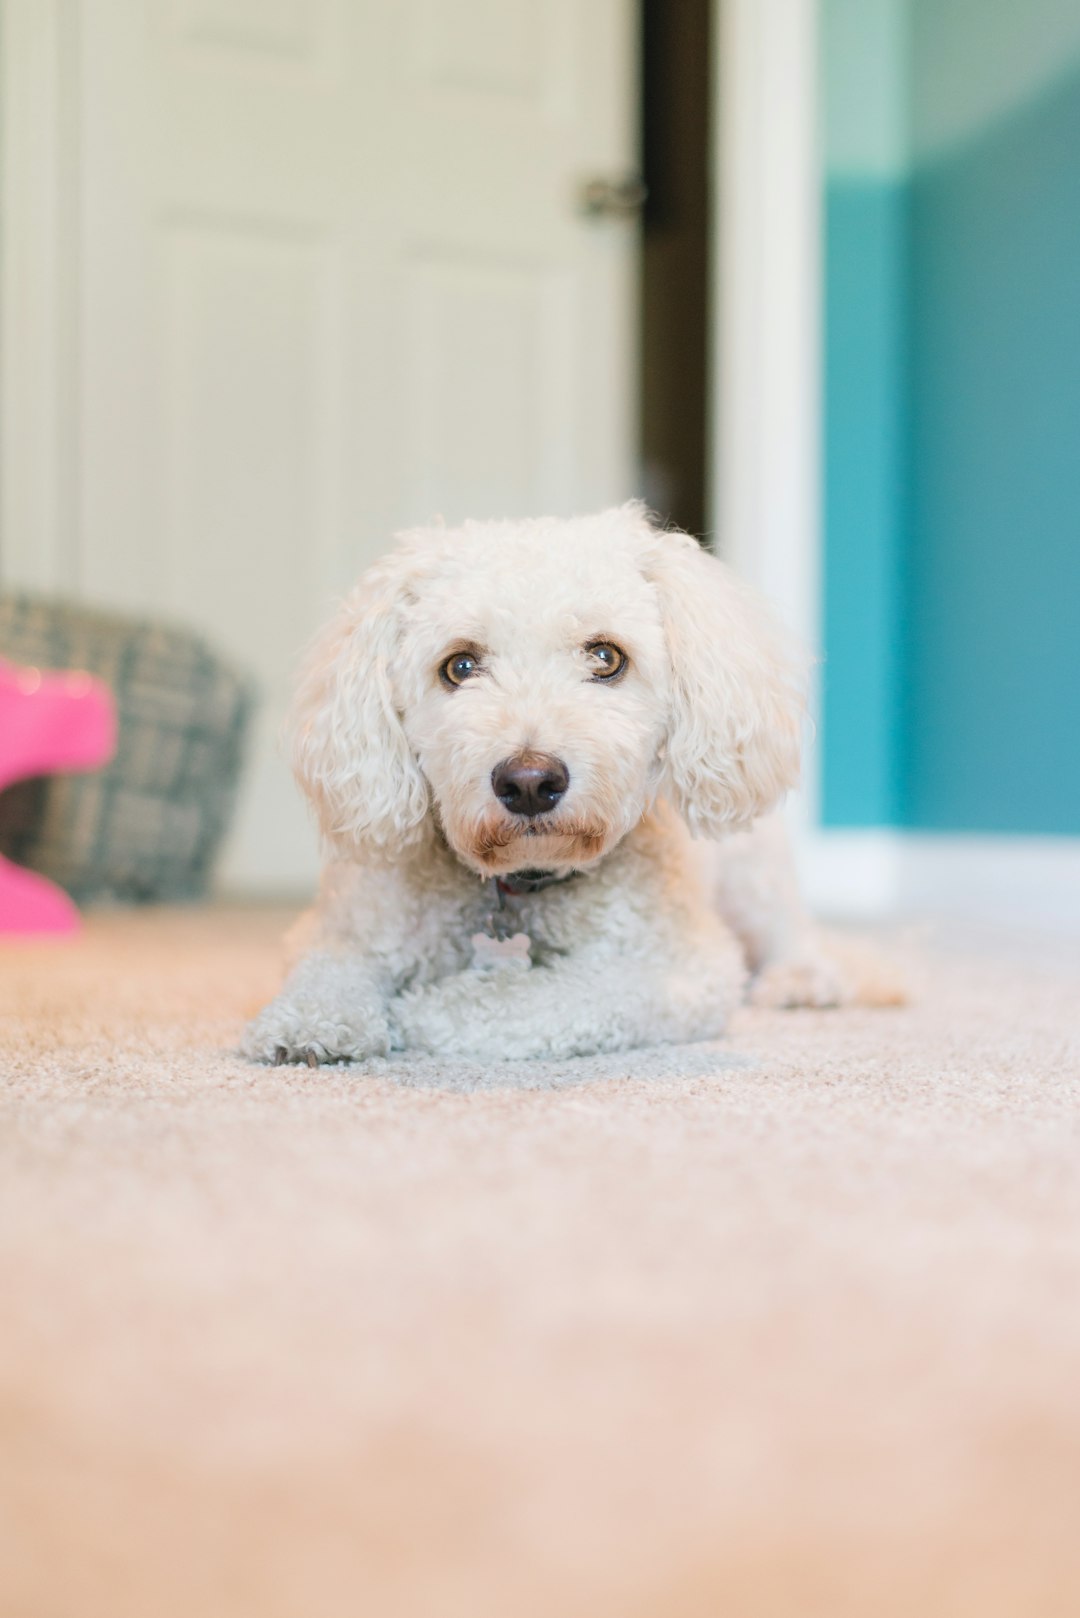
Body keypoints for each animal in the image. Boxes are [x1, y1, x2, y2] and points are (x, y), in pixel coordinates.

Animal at [244, 498, 893, 1067]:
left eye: (605, 657)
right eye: (459, 666)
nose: (529, 782)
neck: (522, 887)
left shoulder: (682, 970)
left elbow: (544, 998)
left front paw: (426, 1010)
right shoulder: (340, 927)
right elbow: (330, 969)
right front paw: (311, 1021)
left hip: (752, 871)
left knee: (792, 930)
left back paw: (803, 980)